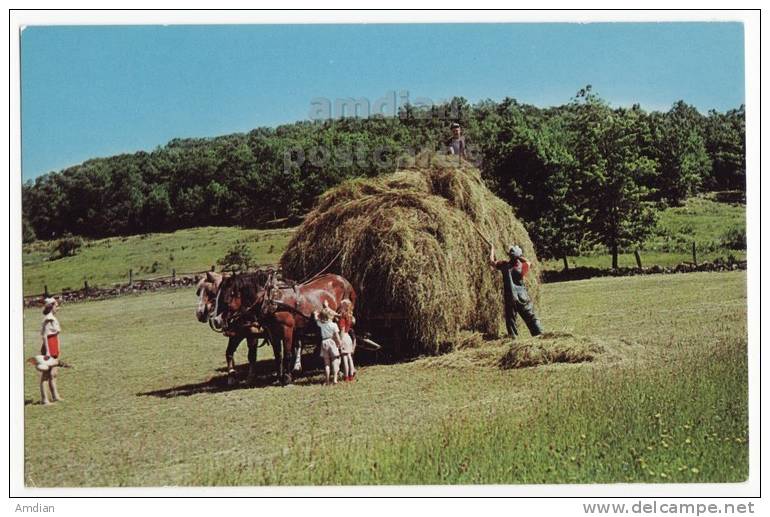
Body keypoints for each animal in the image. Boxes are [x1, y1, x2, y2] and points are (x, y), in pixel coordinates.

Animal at [214, 272, 356, 384]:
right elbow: (278, 355)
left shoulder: (287, 329)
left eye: (229, 295)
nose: (216, 320)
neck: (272, 299)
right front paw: (279, 376)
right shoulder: (272, 332)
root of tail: (344, 280)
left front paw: (287, 377)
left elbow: (287, 354)